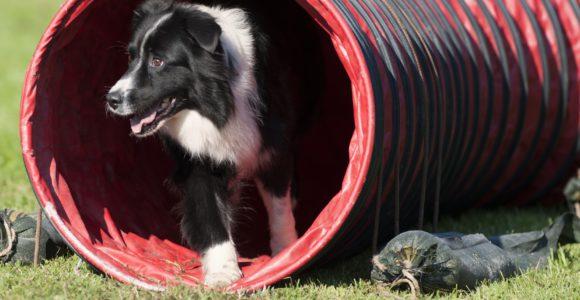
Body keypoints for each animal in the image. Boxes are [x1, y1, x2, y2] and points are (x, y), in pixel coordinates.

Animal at [106, 0, 302, 286]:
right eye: (132, 57)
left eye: (158, 61)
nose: (111, 99)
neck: (216, 102)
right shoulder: (198, 158)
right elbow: (209, 211)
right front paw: (223, 271)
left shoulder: (272, 145)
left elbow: (279, 206)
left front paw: (287, 250)